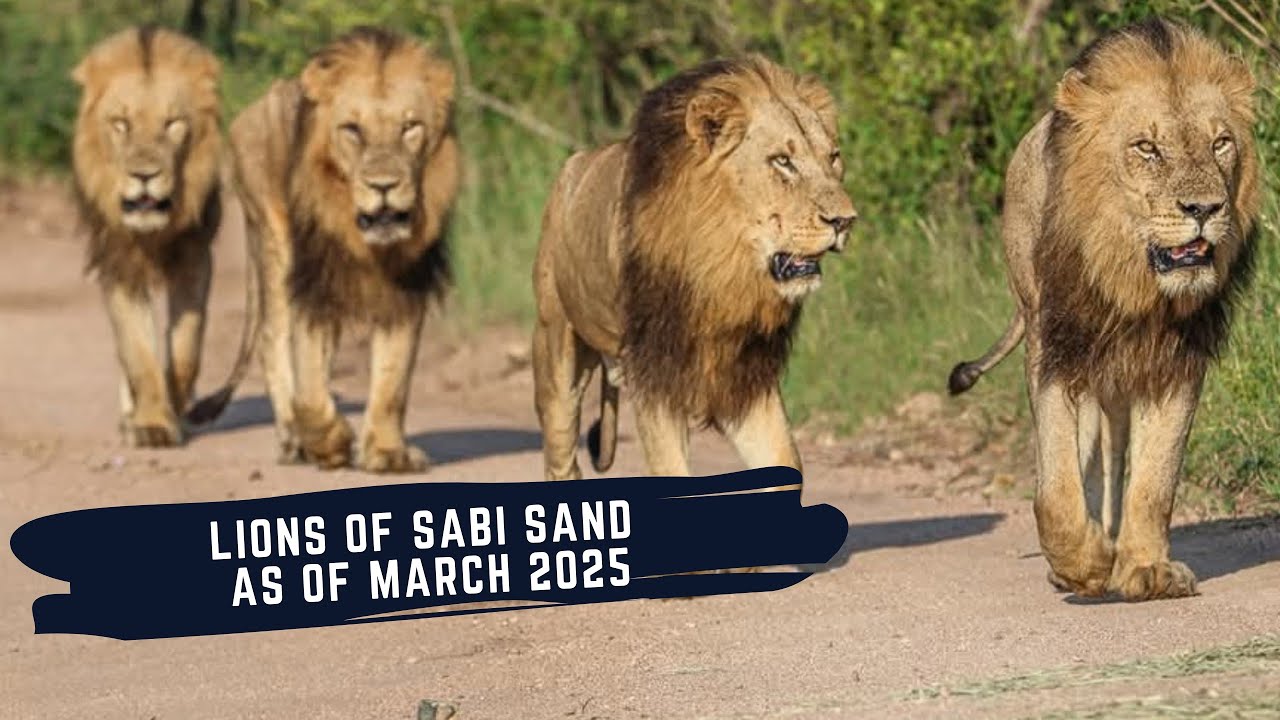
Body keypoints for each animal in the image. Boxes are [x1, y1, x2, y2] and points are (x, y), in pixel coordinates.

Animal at [71, 26, 223, 447]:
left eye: (172, 123)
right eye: (120, 123)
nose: (144, 175)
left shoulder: (195, 256)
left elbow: (187, 343)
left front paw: (177, 402)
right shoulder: (117, 264)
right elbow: (138, 352)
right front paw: (153, 422)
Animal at [188, 27, 458, 473]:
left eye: (410, 127)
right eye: (352, 129)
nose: (383, 185)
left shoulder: (407, 283)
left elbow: (393, 376)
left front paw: (387, 452)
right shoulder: (312, 279)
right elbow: (311, 385)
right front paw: (329, 442)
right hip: (272, 236)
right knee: (272, 339)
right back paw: (294, 439)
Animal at [533, 55, 857, 480]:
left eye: (832, 157)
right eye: (782, 161)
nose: (845, 221)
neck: (721, 272)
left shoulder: (746, 375)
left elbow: (783, 460)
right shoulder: (654, 375)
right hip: (555, 356)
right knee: (562, 457)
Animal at [948, 19, 1260, 601]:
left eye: (1220, 143)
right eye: (1147, 148)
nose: (1205, 209)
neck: (1133, 283)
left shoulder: (1176, 363)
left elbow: (1155, 481)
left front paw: (1146, 568)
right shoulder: (1055, 351)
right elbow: (1057, 484)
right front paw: (1083, 562)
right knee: (1085, 463)